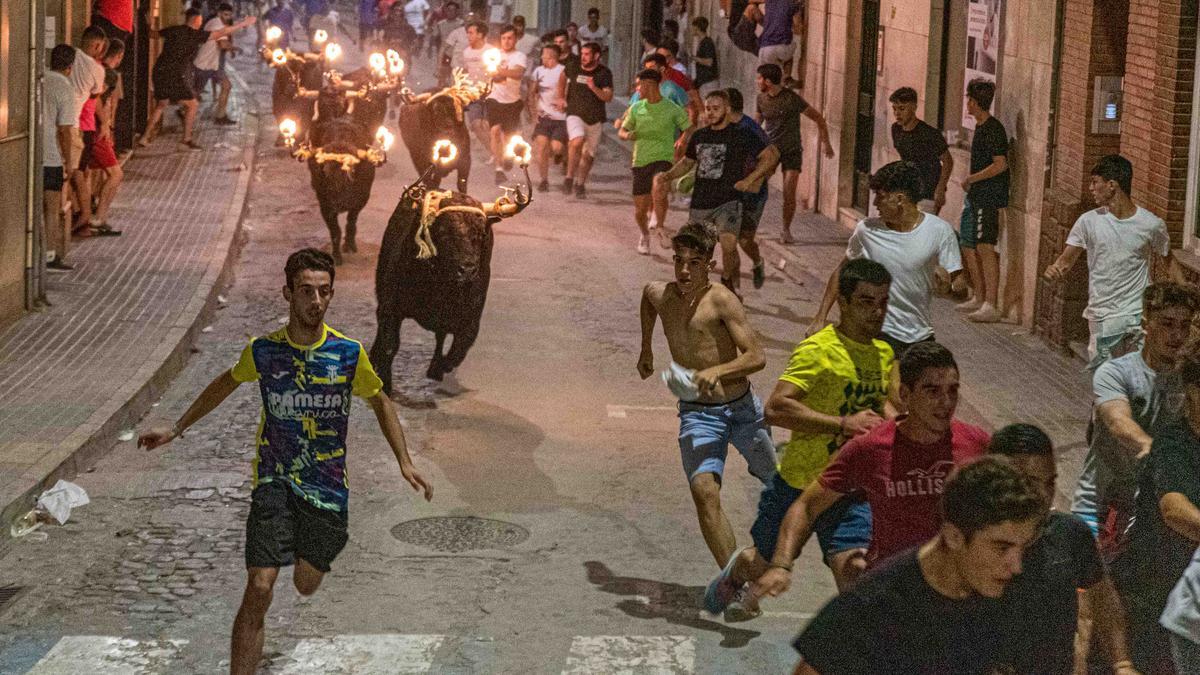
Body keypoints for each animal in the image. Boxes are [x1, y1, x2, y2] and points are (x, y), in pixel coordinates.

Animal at [369, 190, 492, 389]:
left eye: (481, 233)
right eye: (444, 232)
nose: (467, 269)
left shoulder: (471, 319)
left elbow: (457, 352)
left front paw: (438, 369)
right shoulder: (390, 308)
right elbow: (390, 345)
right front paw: (384, 382)